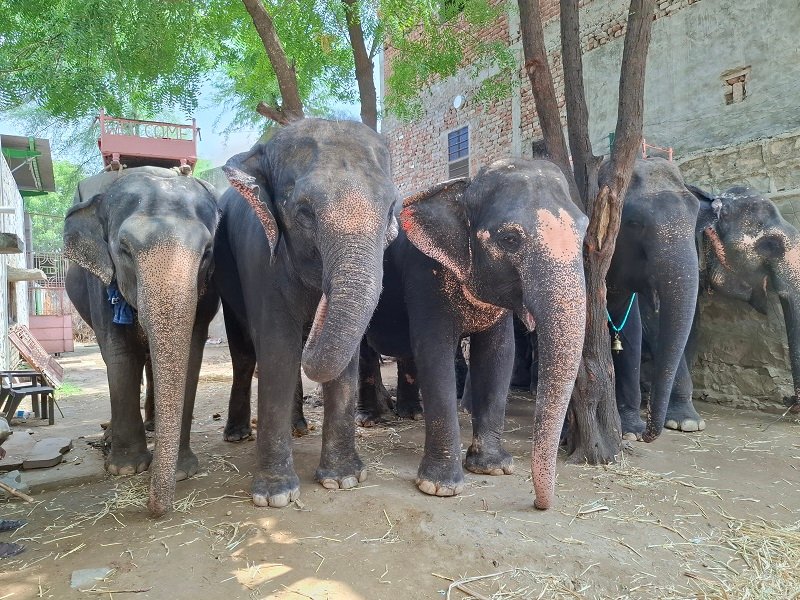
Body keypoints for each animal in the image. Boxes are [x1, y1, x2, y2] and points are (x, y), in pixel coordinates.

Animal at [64, 167, 220, 516]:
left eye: (208, 252)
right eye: (123, 249)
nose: (153, 508)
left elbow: (191, 351)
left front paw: (182, 471)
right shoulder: (99, 284)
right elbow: (120, 354)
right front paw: (125, 469)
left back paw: (151, 426)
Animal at [214, 118, 399, 508]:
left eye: (391, 208)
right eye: (304, 213)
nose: (317, 313)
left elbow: (343, 362)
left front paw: (343, 480)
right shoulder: (260, 259)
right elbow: (279, 351)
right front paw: (275, 496)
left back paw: (297, 426)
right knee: (244, 354)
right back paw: (237, 435)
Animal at [366, 158, 588, 510]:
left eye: (584, 231)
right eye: (510, 239)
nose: (540, 504)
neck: (465, 187)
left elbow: (499, 355)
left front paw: (493, 467)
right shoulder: (424, 275)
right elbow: (434, 352)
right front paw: (439, 486)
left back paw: (410, 414)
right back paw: (370, 418)